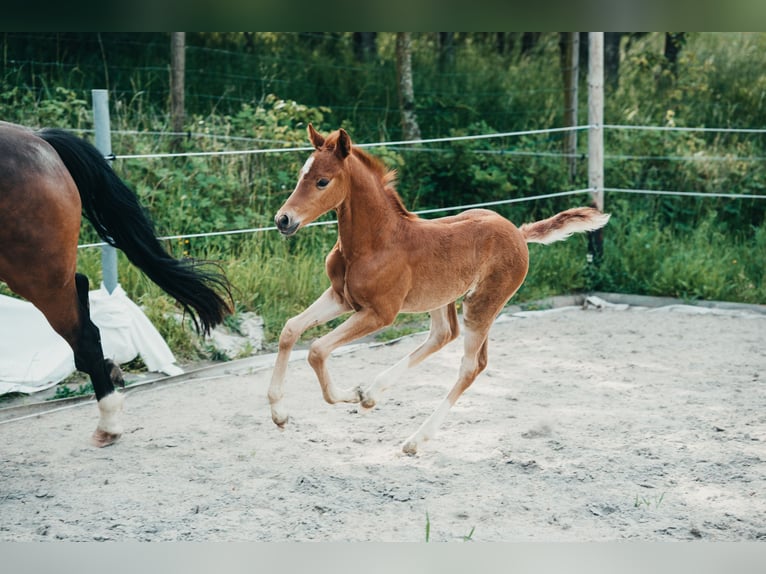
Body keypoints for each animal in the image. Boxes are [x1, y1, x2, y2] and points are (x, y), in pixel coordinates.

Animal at [268, 124, 610, 455]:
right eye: (301, 176)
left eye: (322, 181)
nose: (283, 220)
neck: (375, 242)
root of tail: (518, 232)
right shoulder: (341, 297)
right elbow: (290, 330)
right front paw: (280, 414)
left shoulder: (379, 314)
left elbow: (317, 349)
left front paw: (349, 394)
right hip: (440, 298)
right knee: (444, 334)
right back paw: (372, 394)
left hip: (482, 306)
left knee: (471, 365)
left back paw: (413, 439)